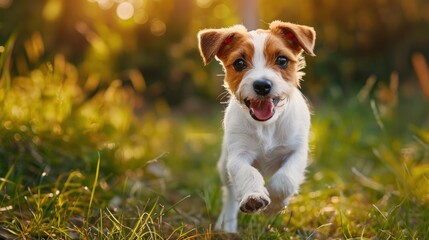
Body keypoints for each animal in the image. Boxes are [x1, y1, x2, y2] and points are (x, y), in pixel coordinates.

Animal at [197, 20, 314, 232]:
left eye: (282, 60)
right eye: (239, 63)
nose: (262, 85)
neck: (267, 126)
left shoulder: (297, 151)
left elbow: (284, 180)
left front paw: (274, 206)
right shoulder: (237, 156)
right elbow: (248, 174)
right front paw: (254, 197)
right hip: (224, 165)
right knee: (230, 193)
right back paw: (227, 224)